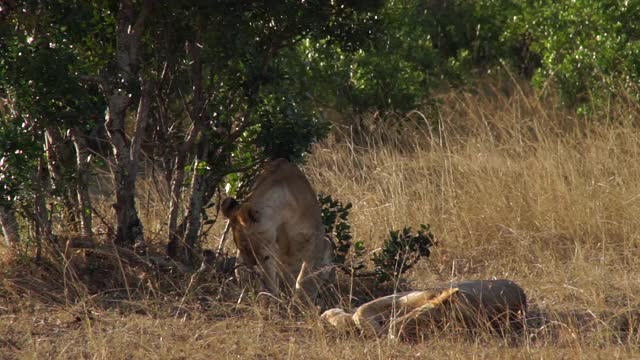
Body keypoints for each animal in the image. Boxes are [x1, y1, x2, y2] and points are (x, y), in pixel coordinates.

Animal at [320, 280, 524, 338]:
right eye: (422, 317)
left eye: (427, 325)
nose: (393, 330)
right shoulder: (403, 297)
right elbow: (360, 311)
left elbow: (359, 312)